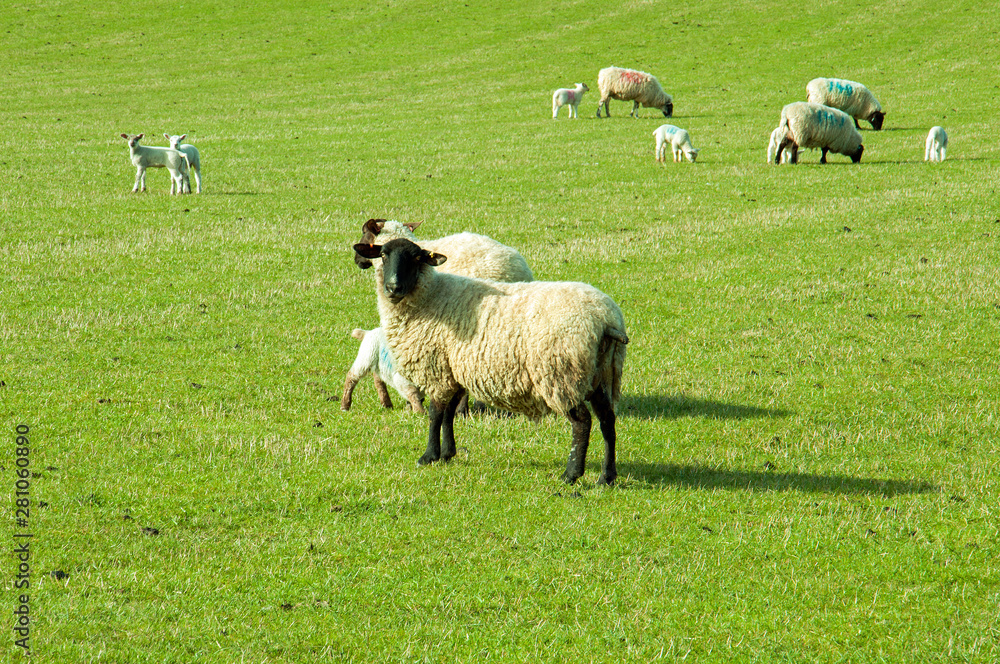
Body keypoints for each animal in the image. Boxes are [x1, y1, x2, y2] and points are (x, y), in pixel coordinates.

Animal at [353, 238, 628, 486]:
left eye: (416, 258)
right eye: (384, 255)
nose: (393, 287)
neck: (431, 296)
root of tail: (605, 319)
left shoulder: (438, 370)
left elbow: (435, 414)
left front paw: (429, 456)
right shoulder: (453, 371)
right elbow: (449, 414)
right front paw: (448, 453)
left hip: (562, 374)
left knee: (582, 423)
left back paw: (571, 475)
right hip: (600, 374)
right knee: (607, 420)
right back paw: (607, 477)